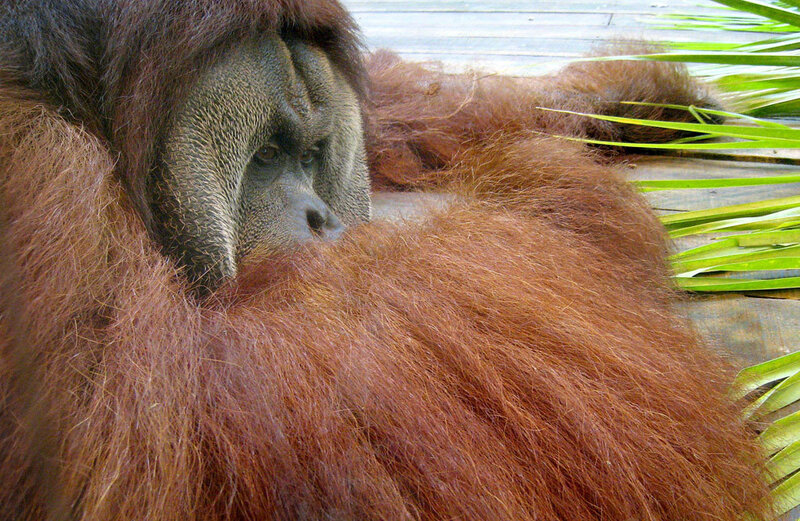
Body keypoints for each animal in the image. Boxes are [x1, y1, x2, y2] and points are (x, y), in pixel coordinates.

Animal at [0, 1, 772, 520]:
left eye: (313, 153)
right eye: (267, 154)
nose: (321, 217)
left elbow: (404, 118)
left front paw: (642, 103)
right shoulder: (39, 167)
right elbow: (153, 436)